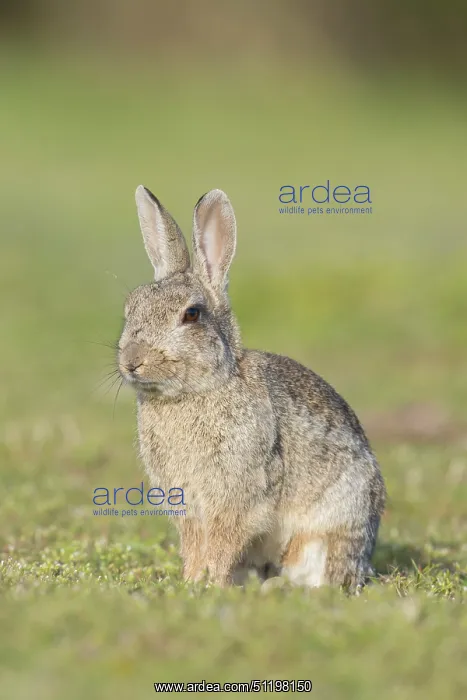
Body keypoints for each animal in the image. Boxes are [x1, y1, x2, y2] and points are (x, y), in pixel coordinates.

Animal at [117, 185, 386, 590]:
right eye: (130, 307)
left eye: (191, 314)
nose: (132, 360)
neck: (198, 390)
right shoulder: (187, 505)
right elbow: (195, 546)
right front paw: (191, 582)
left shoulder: (238, 497)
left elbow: (221, 544)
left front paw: (208, 585)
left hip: (328, 529)